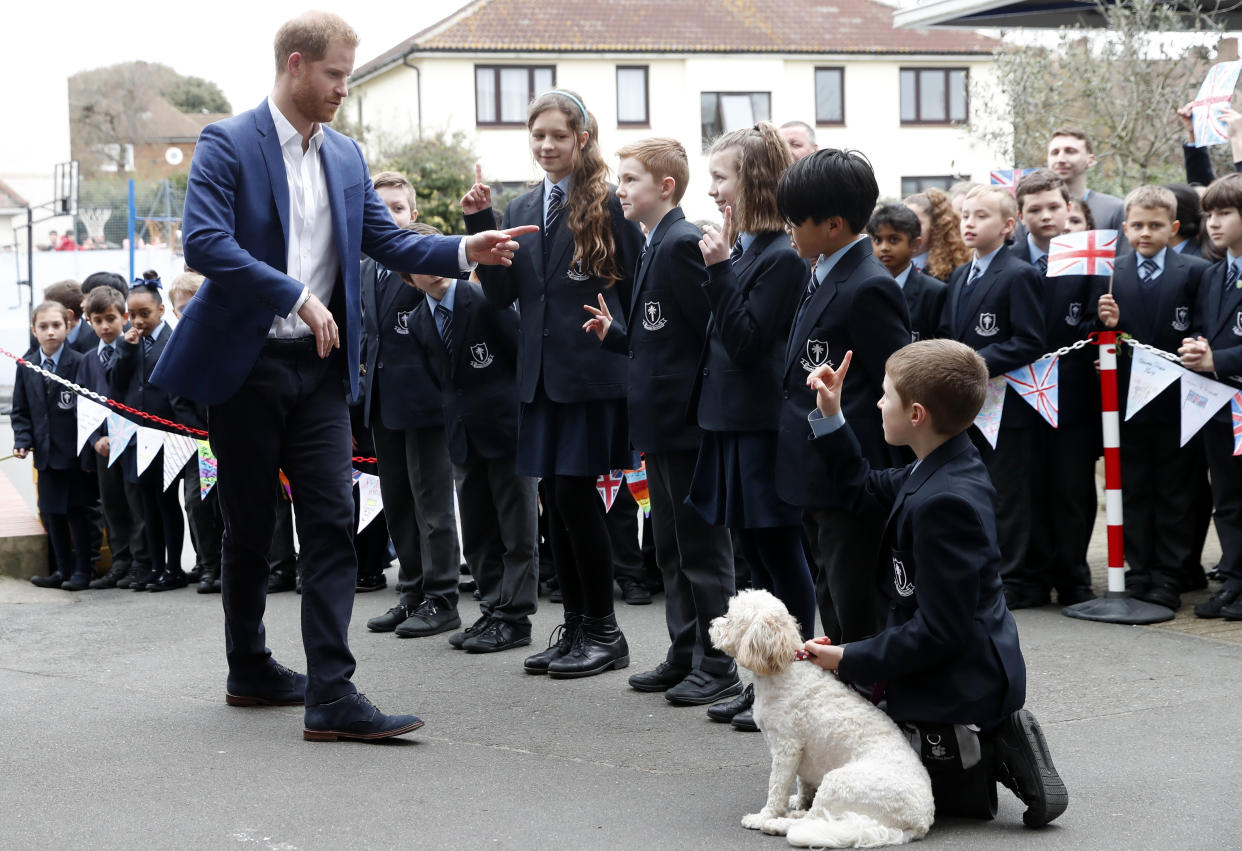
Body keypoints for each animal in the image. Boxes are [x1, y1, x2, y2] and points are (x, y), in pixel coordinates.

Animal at [710, 586, 933, 844]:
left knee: (813, 820)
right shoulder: (800, 752)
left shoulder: (786, 748)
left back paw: (777, 824)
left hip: (838, 782)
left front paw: (764, 816)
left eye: (731, 619)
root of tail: (920, 821)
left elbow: (776, 787)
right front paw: (799, 801)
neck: (784, 667)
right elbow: (802, 781)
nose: (712, 625)